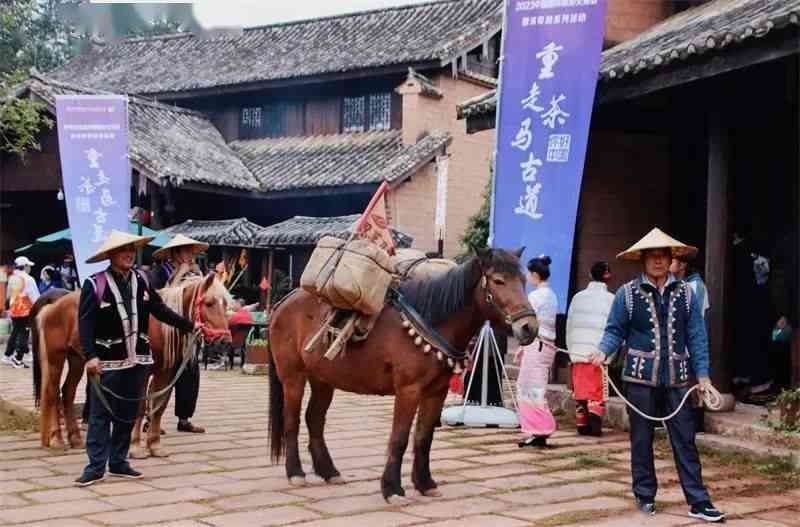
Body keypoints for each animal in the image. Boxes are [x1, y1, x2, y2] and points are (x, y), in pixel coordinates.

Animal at [32, 274, 231, 452]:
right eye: (209, 303)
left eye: (225, 304)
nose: (225, 341)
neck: (160, 327)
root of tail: (52, 306)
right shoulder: (142, 373)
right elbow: (140, 407)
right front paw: (134, 446)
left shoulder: (165, 373)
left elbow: (159, 406)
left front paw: (154, 445)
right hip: (55, 358)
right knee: (52, 394)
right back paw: (57, 439)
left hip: (77, 360)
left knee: (67, 393)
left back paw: (75, 440)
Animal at [268, 249, 536, 504]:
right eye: (499, 281)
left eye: (523, 280)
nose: (529, 327)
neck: (431, 324)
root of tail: (284, 302)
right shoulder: (408, 390)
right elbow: (399, 439)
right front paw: (392, 488)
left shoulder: (436, 392)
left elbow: (424, 438)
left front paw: (425, 483)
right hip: (293, 376)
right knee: (292, 421)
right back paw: (295, 472)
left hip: (323, 379)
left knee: (314, 419)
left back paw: (328, 471)